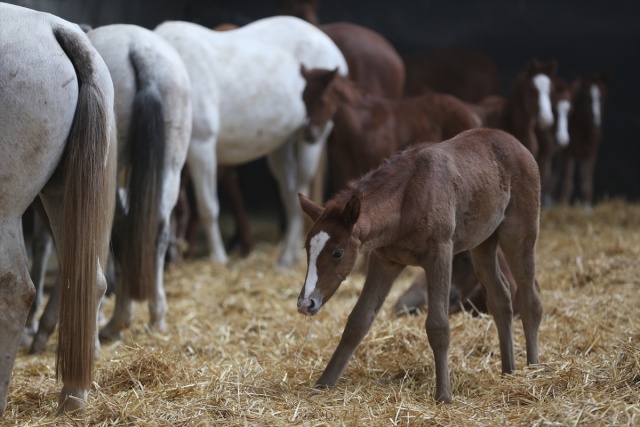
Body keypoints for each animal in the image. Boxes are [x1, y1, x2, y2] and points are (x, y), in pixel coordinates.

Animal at [0, 4, 116, 414]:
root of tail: (54, 28)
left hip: (7, 205)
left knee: (15, 288)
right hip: (62, 192)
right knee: (91, 281)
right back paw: (74, 397)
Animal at [155, 16, 348, 268]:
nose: (168, 260)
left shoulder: (201, 146)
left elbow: (207, 207)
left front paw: (218, 258)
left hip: (312, 140)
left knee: (301, 189)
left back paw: (286, 259)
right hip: (281, 148)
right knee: (290, 197)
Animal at [298, 129, 544, 406]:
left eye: (337, 253)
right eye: (307, 248)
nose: (306, 303)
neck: (406, 198)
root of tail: (514, 142)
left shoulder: (440, 253)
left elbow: (438, 326)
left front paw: (444, 396)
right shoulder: (385, 262)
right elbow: (358, 321)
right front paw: (323, 384)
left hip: (519, 232)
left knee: (529, 298)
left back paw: (534, 372)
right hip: (483, 243)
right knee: (501, 298)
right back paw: (508, 371)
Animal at [302, 66, 478, 196]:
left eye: (322, 100)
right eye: (303, 98)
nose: (309, 134)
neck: (362, 127)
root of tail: (469, 111)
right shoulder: (343, 173)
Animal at [556, 73, 608, 207]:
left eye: (602, 97)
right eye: (585, 98)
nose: (596, 121)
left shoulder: (591, 153)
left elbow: (586, 182)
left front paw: (586, 206)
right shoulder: (568, 152)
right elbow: (567, 183)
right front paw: (563, 205)